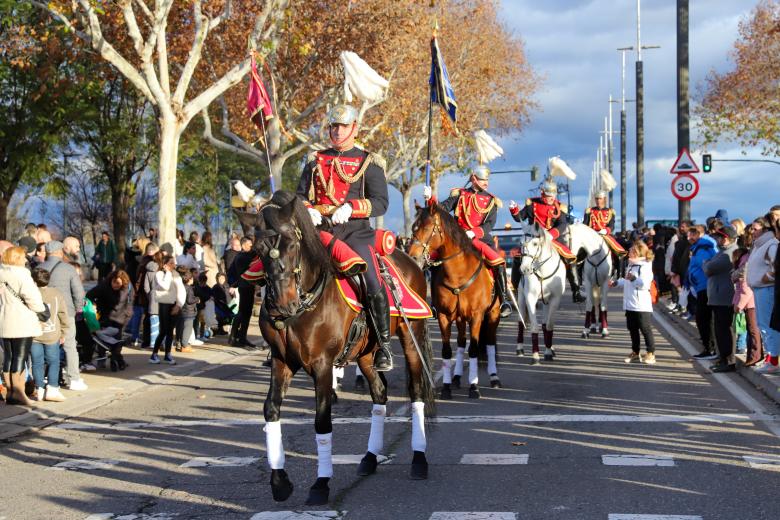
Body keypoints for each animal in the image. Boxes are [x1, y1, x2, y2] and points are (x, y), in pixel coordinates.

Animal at [235, 190, 436, 504]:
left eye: (292, 244)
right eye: (257, 249)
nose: (282, 305)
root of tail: (409, 260)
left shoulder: (322, 365)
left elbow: (322, 421)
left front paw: (321, 484)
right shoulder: (282, 361)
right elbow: (271, 411)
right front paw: (279, 481)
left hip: (410, 334)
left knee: (415, 392)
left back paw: (418, 459)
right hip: (365, 353)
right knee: (379, 393)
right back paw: (369, 458)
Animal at [408, 203, 500, 398]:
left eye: (427, 227)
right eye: (413, 228)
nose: (412, 257)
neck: (458, 274)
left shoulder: (477, 317)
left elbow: (473, 349)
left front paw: (474, 387)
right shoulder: (444, 316)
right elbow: (447, 351)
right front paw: (447, 387)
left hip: (493, 314)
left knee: (489, 342)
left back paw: (494, 377)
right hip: (460, 318)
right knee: (461, 343)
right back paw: (457, 377)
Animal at [516, 223, 564, 366]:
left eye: (535, 243)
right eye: (520, 242)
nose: (524, 269)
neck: (543, 271)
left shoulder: (554, 299)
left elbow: (548, 325)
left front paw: (548, 352)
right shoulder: (530, 298)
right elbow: (534, 326)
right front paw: (536, 356)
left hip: (545, 302)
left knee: (545, 324)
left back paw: (551, 349)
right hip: (521, 299)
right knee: (521, 321)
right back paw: (520, 349)